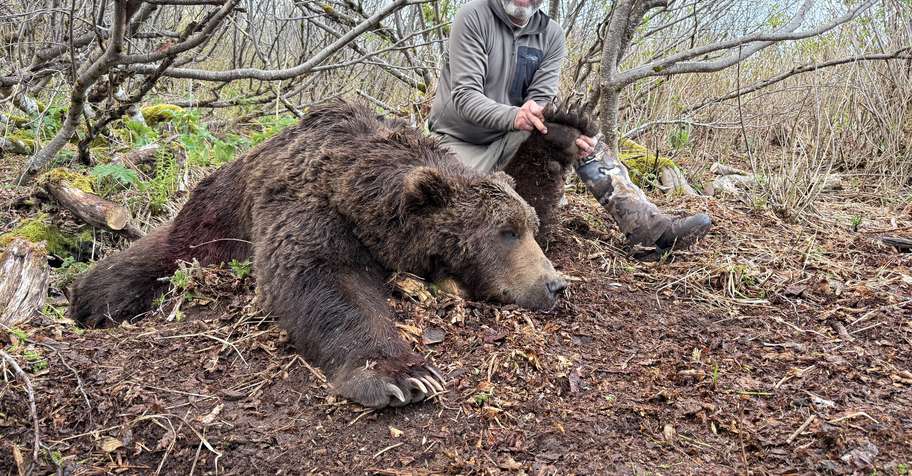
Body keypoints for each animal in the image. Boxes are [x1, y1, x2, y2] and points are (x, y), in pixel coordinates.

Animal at [68, 101, 594, 408]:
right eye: (505, 233)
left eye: (527, 229)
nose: (555, 284)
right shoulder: (307, 205)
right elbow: (325, 277)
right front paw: (404, 375)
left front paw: (564, 126)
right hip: (210, 223)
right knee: (147, 262)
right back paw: (92, 301)